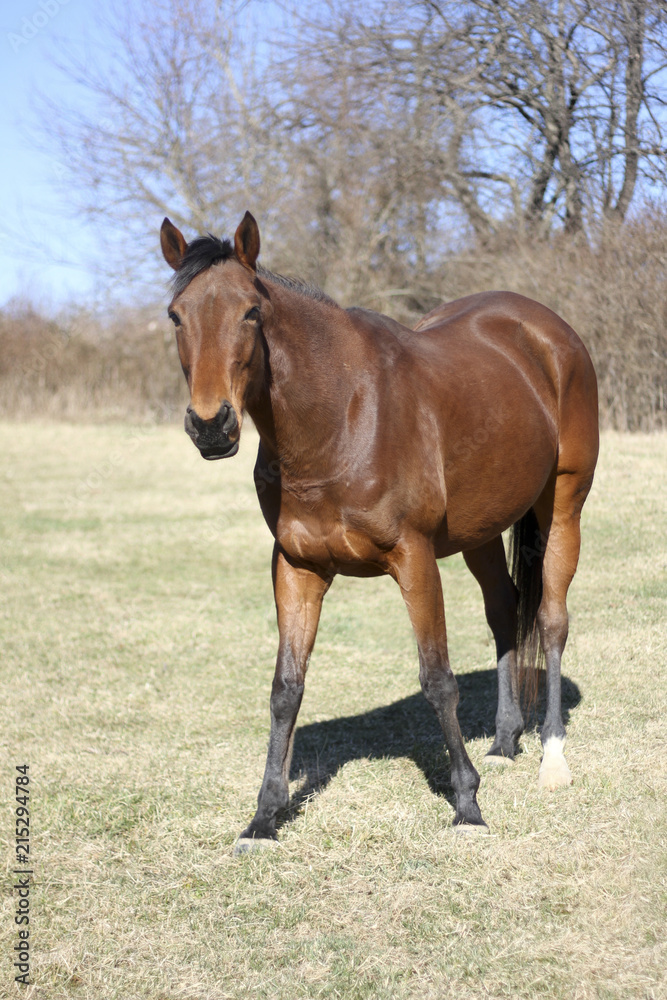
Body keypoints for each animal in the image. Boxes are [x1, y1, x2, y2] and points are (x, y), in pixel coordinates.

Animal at [160, 211, 600, 852]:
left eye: (251, 312)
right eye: (176, 315)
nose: (212, 426)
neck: (339, 417)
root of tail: (549, 332)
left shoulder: (412, 558)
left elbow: (437, 679)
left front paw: (467, 804)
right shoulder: (296, 567)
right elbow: (285, 688)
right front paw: (264, 818)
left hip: (563, 506)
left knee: (550, 619)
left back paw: (552, 759)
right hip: (481, 533)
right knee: (503, 612)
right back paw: (503, 741)